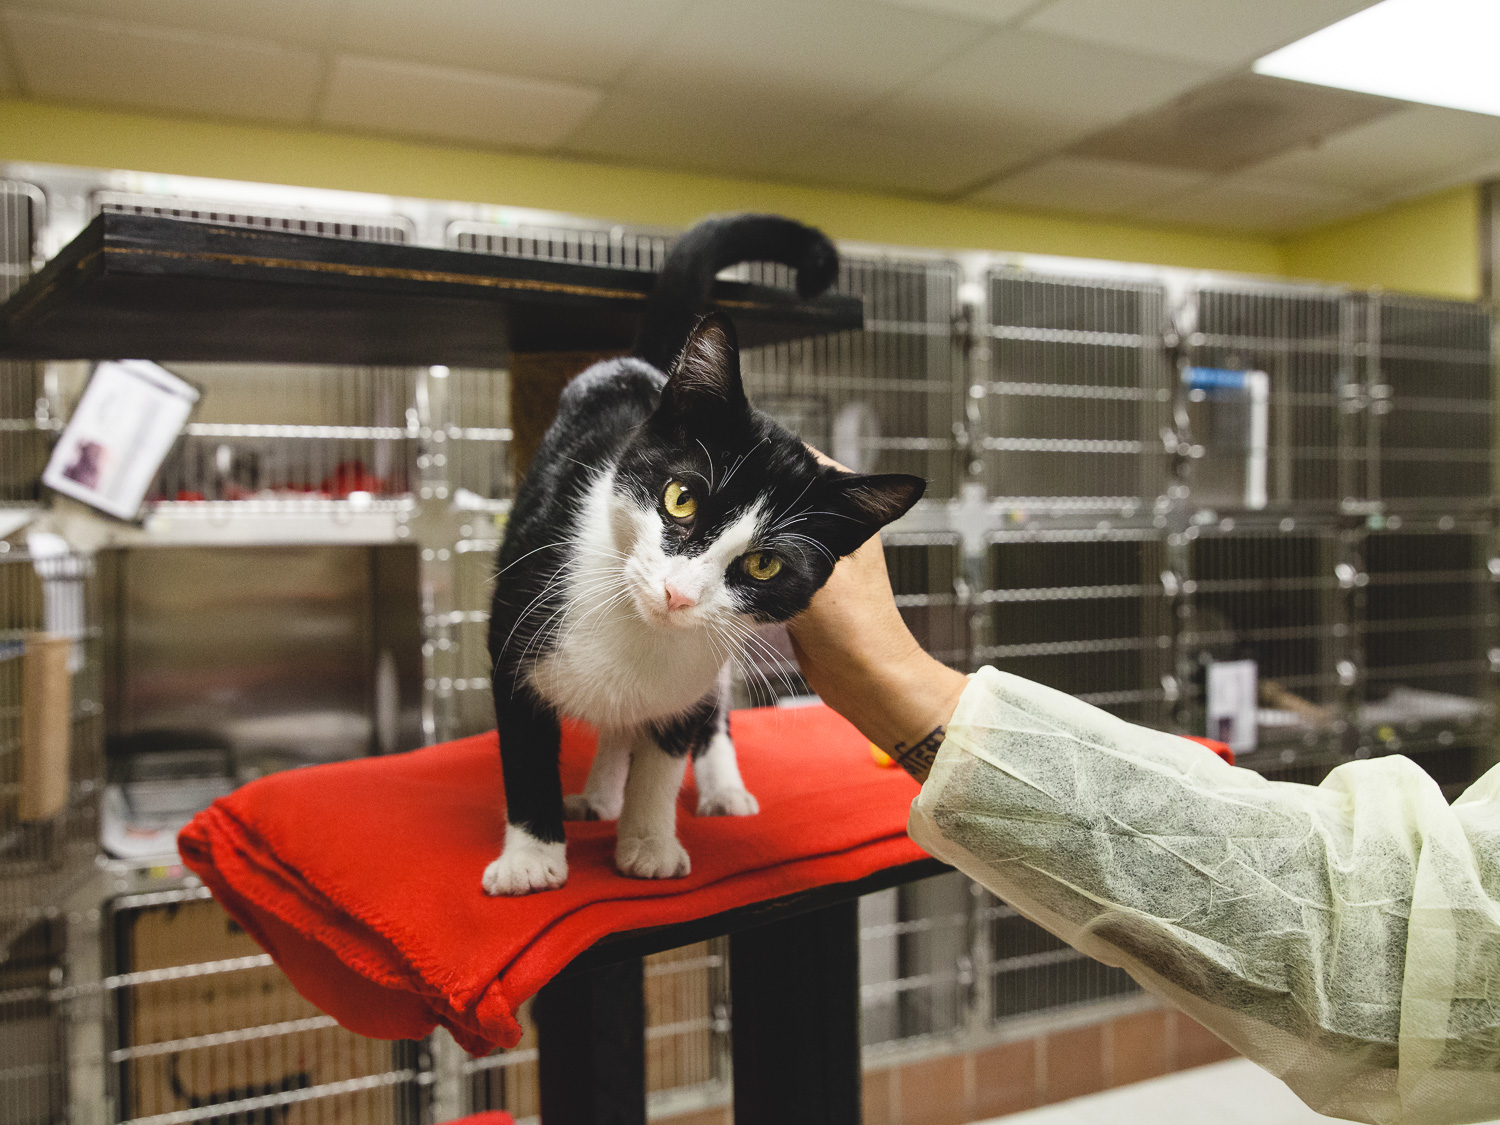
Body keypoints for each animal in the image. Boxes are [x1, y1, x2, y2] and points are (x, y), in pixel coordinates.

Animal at [486, 213, 918, 900]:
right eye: (681, 498)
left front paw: (648, 842)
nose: (679, 594)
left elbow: (667, 752)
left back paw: (719, 788)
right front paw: (532, 858)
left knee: (708, 711)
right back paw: (598, 792)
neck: (639, 634)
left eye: (765, 565)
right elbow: (526, 754)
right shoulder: (517, 624)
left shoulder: (693, 671)